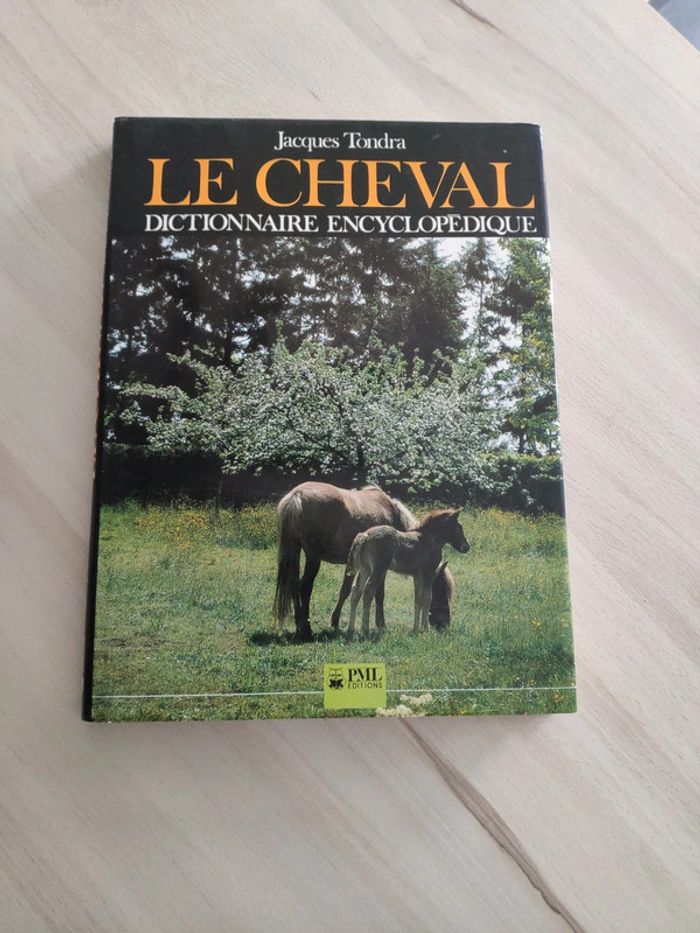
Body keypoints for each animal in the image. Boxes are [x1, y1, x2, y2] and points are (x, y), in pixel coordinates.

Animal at [273, 481, 455, 639]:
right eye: (441, 590)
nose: (445, 624)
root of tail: (296, 496)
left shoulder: (355, 567)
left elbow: (346, 591)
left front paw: (336, 621)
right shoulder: (379, 569)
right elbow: (378, 594)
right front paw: (381, 624)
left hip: (295, 551)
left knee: (293, 585)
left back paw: (299, 626)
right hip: (313, 557)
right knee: (304, 587)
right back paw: (306, 629)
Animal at [345, 509, 470, 637]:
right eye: (459, 527)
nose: (466, 547)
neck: (430, 538)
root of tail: (365, 535)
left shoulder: (417, 576)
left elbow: (418, 600)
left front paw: (415, 629)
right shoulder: (428, 574)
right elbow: (427, 598)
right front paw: (426, 629)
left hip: (365, 569)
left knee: (356, 592)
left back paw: (351, 629)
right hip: (378, 570)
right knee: (368, 591)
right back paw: (365, 629)